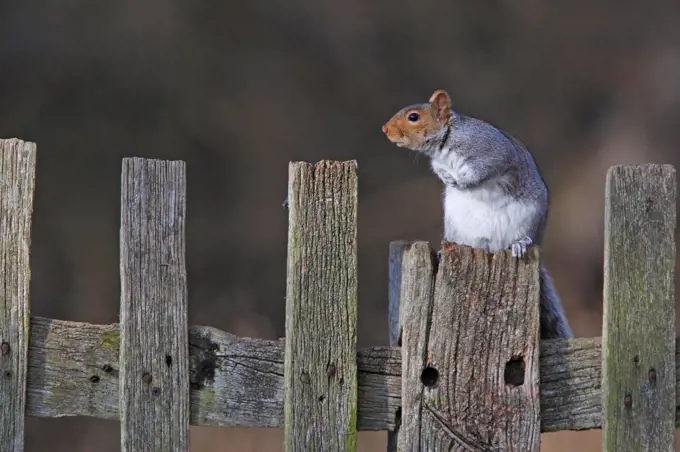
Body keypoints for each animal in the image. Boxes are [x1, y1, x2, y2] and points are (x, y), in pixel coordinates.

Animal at [382, 88, 572, 340]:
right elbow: (440, 170)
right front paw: (448, 178)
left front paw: (463, 182)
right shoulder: (439, 163)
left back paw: (520, 243)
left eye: (413, 117)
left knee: (527, 238)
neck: (447, 140)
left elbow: (484, 171)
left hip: (530, 221)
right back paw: (443, 251)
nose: (385, 129)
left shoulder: (490, 152)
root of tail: (491, 247)